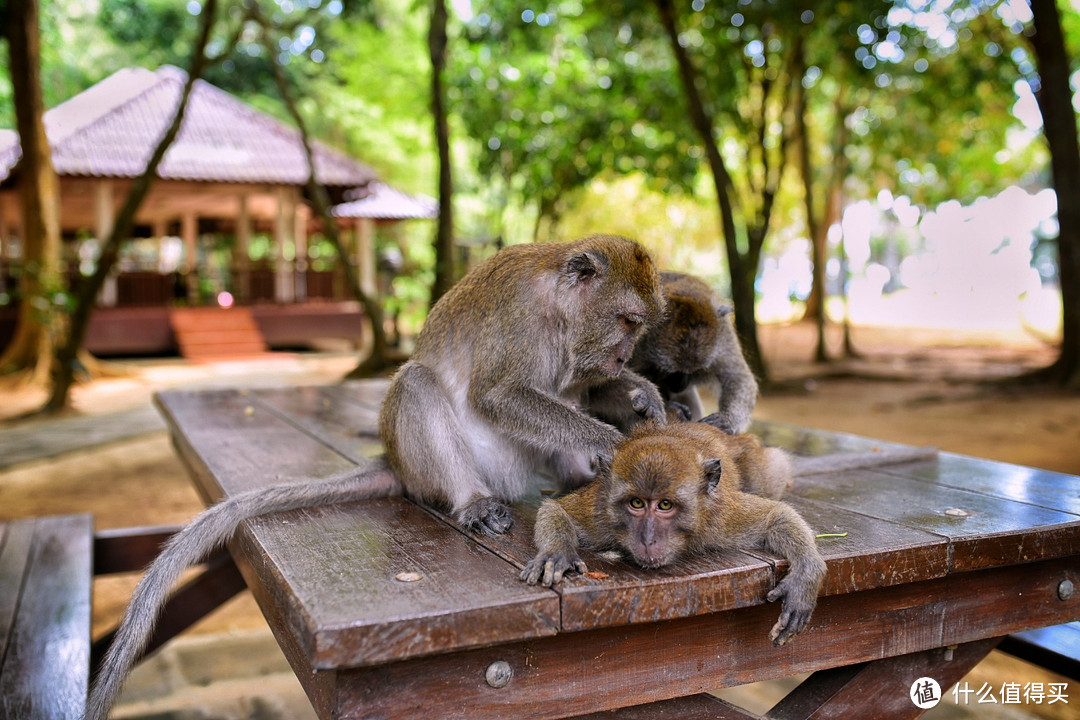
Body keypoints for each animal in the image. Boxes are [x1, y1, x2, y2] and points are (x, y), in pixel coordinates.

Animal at [86, 235, 665, 720]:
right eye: (628, 321)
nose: (623, 357)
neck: (559, 309)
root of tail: (395, 462)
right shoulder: (522, 320)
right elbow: (500, 395)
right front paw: (611, 440)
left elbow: (580, 390)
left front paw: (640, 397)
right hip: (440, 463)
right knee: (417, 382)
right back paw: (473, 500)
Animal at [520, 423, 937, 647]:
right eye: (636, 504)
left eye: (665, 506)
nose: (648, 539)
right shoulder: (601, 511)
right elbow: (556, 510)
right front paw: (557, 553)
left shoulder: (718, 517)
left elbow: (774, 516)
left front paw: (806, 574)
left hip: (761, 465)